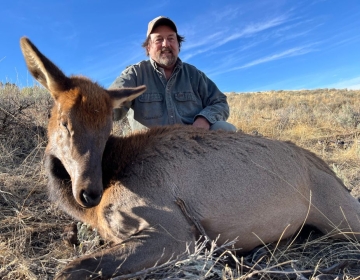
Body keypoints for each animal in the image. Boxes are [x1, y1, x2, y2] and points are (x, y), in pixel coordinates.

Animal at [20, 36, 360, 278]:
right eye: (64, 121)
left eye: (106, 129)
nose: (89, 191)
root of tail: (329, 171)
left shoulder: (176, 232)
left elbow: (71, 269)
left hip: (341, 214)